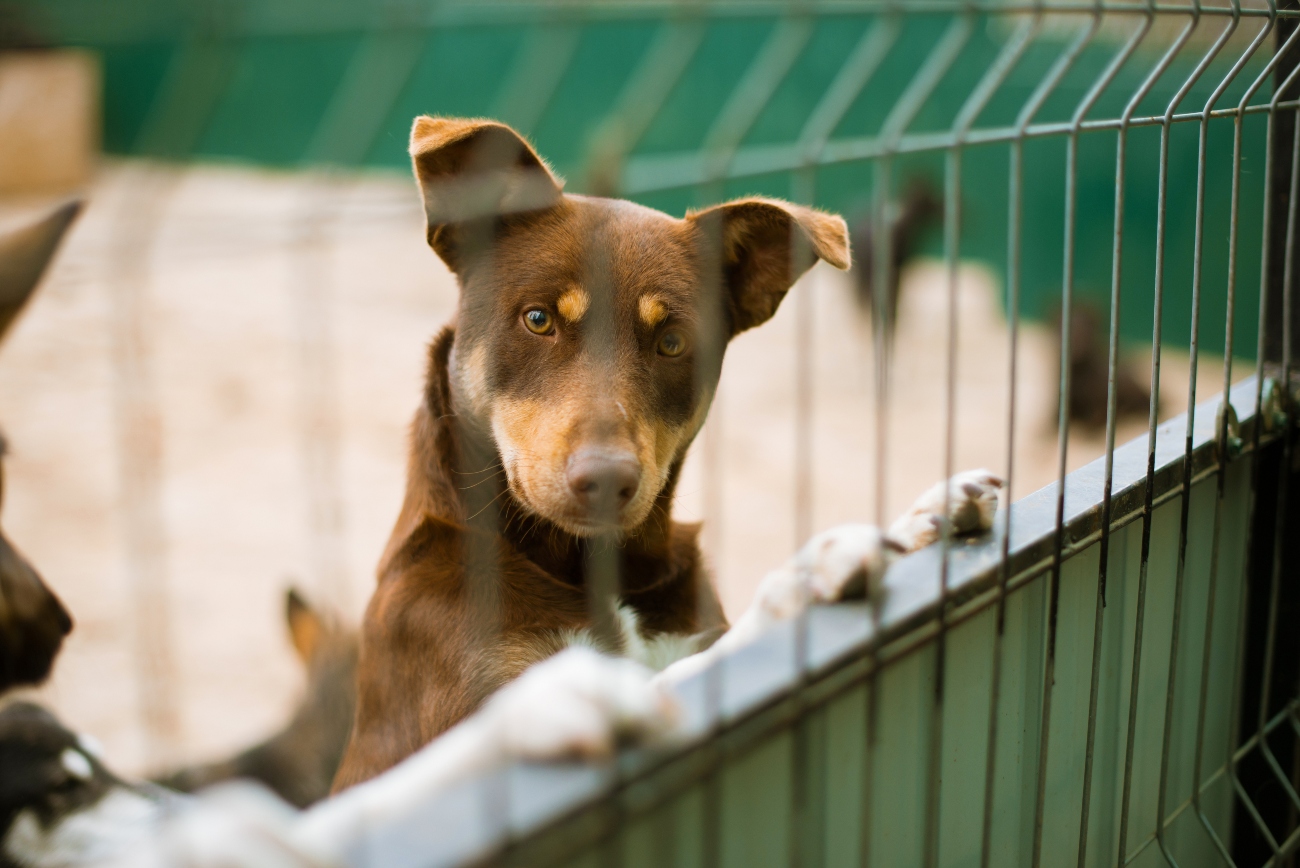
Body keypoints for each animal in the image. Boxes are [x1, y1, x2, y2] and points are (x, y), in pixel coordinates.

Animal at [330, 118, 998, 790]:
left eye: (672, 341)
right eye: (538, 318)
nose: (605, 481)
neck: (594, 568)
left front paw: (918, 522)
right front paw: (807, 577)